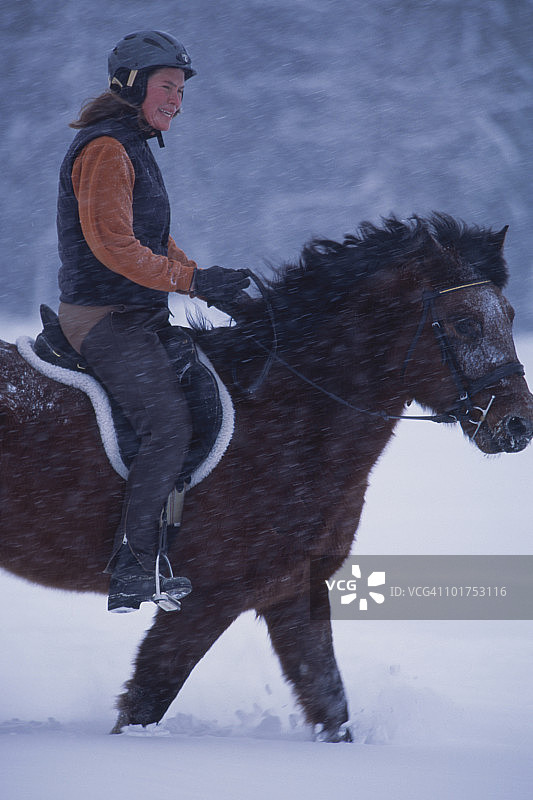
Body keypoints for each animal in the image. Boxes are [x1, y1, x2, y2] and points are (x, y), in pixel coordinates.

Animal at [0, 214, 532, 741]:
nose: (518, 425)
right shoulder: (209, 599)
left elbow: (329, 702)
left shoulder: (295, 591)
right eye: (465, 322)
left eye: (508, 316)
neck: (285, 415)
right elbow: (145, 702)